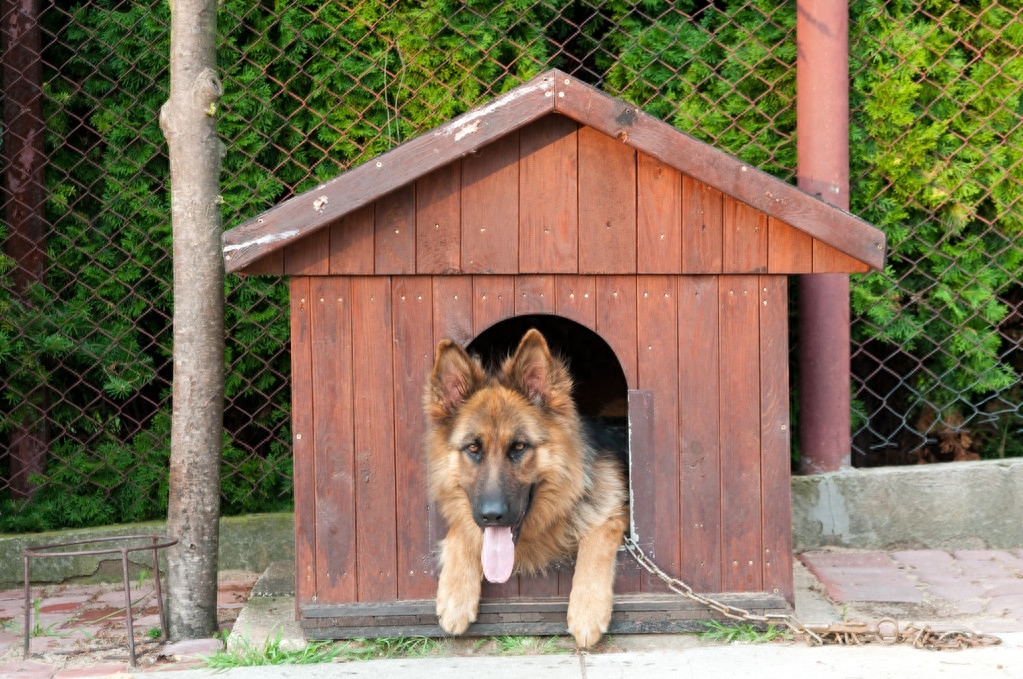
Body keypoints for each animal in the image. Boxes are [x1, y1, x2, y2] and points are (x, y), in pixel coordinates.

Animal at [419, 329, 626, 646]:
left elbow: (597, 539)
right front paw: (455, 594)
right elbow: (460, 531)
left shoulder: (614, 511)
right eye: (473, 448)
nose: (492, 516)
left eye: (519, 447)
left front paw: (588, 608)